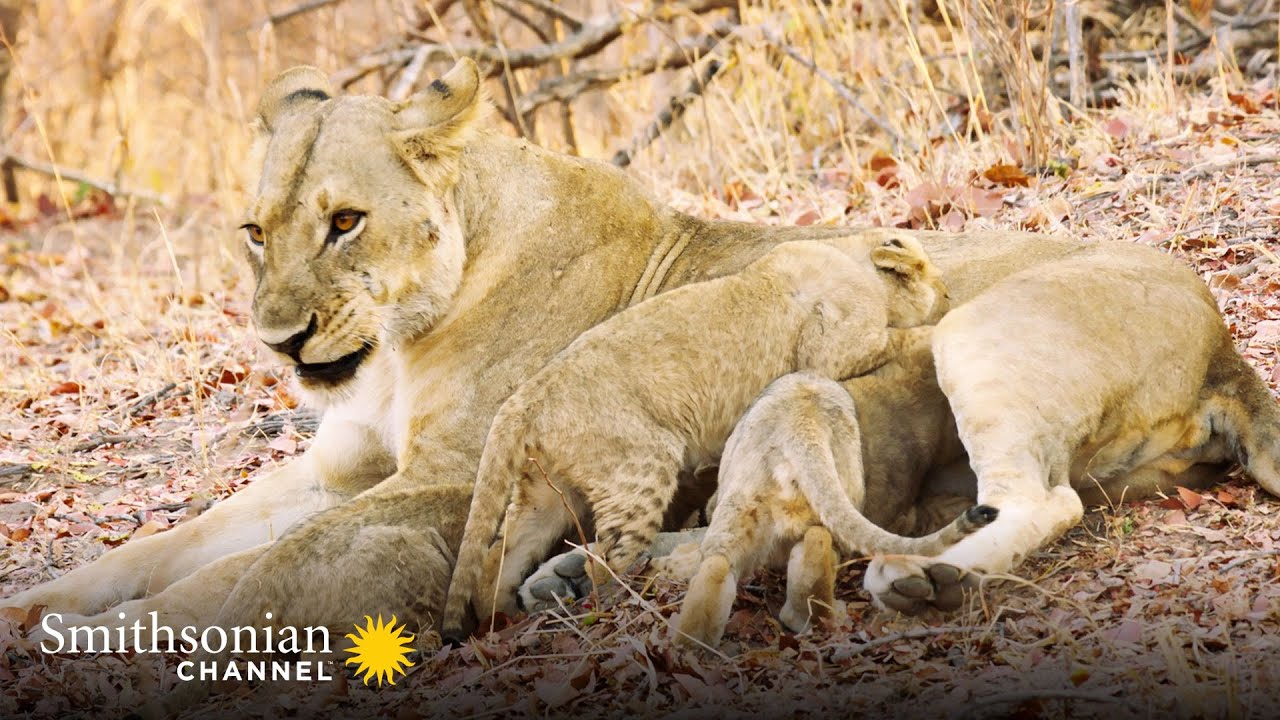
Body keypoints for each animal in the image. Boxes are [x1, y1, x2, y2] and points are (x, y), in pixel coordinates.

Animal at [440, 234, 949, 639]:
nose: (946, 292)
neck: (849, 256)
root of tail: (523, 398)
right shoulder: (833, 352)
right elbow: (899, 337)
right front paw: (940, 323)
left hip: (547, 492)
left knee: (498, 557)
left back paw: (506, 619)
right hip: (641, 468)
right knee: (609, 558)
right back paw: (620, 594)